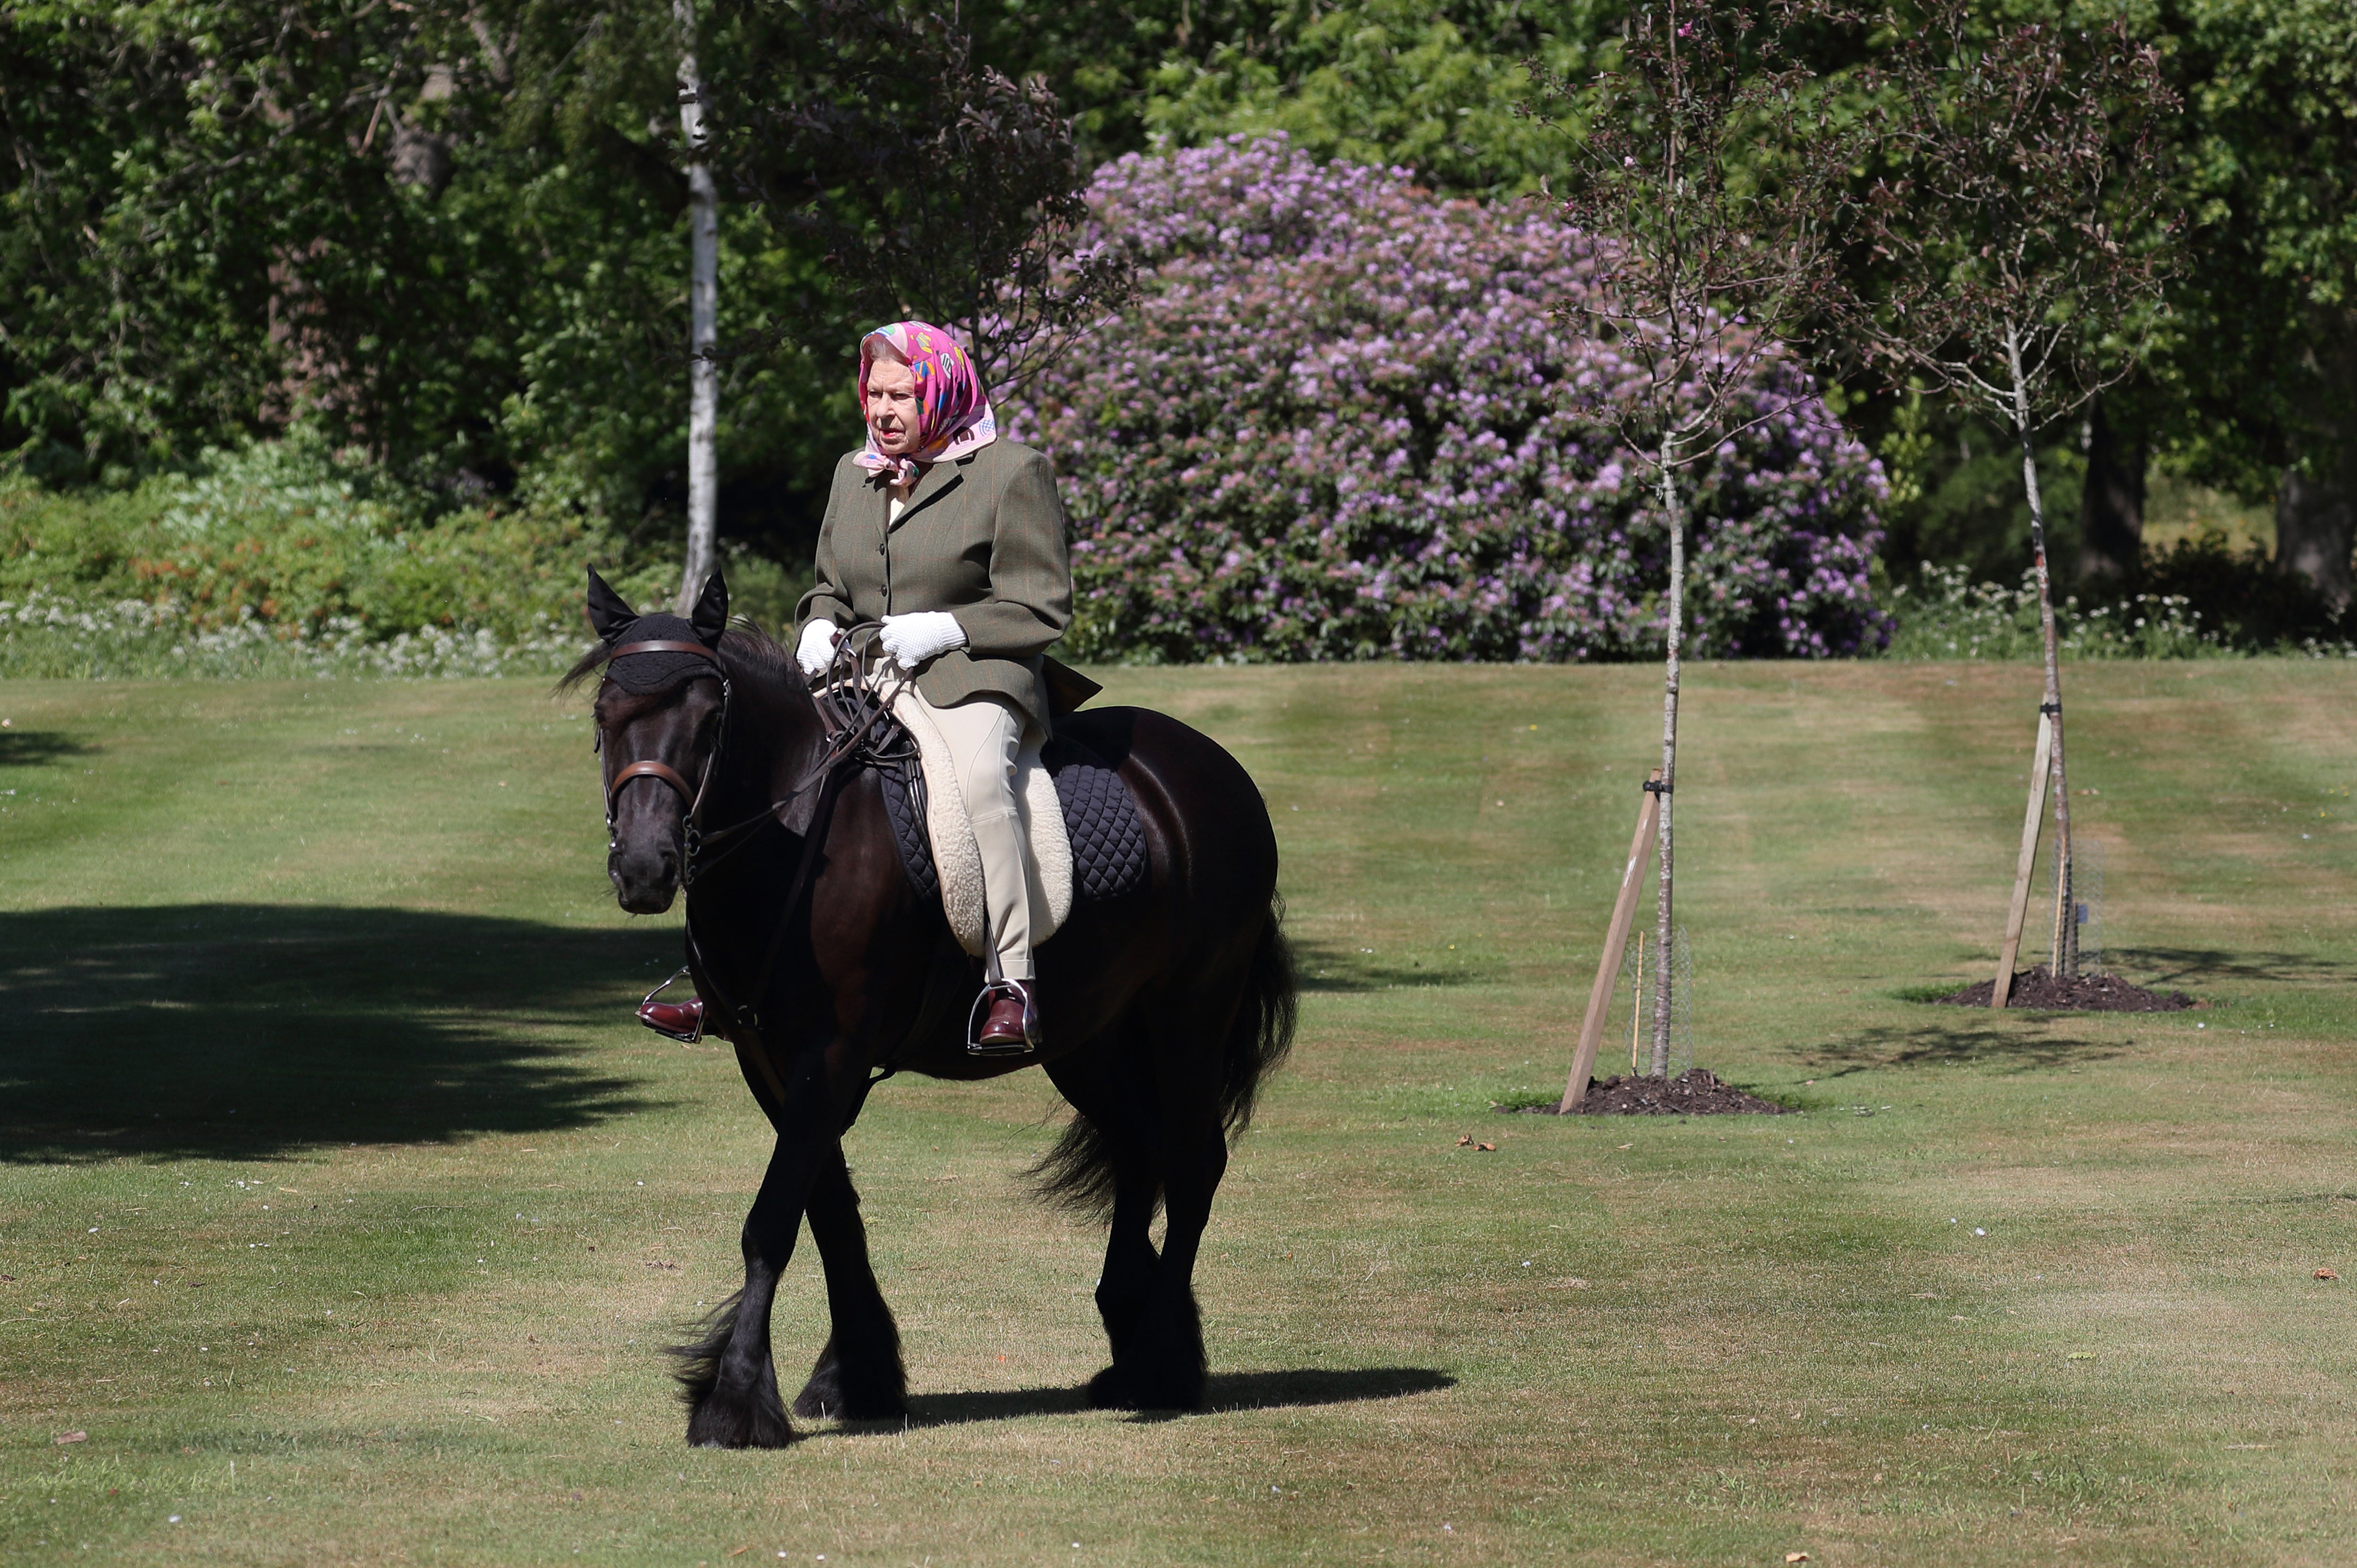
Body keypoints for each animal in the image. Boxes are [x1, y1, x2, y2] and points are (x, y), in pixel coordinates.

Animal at [577, 573, 1301, 1443]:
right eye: (604, 715)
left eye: (710, 721)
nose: (645, 868)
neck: (796, 835)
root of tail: (1208, 766)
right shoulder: (771, 1060)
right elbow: (830, 1212)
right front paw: (858, 1375)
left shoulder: (831, 1053)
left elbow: (773, 1220)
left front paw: (736, 1398)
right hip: (1087, 1037)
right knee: (1139, 1149)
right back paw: (1131, 1339)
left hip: (1189, 1010)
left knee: (1192, 1163)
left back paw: (1161, 1362)